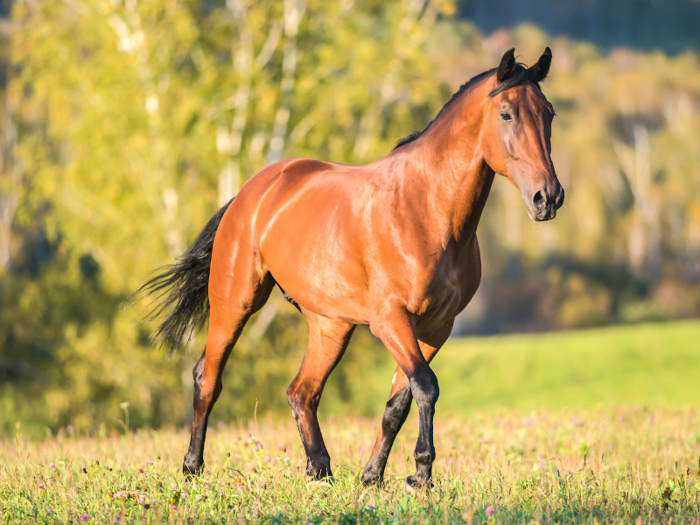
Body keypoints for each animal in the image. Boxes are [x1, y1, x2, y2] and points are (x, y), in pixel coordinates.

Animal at [137, 47, 564, 490]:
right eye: (506, 114)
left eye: (548, 114)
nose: (547, 197)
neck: (426, 209)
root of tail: (250, 192)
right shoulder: (391, 319)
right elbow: (426, 387)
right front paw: (421, 474)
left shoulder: (435, 328)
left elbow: (399, 402)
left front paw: (374, 476)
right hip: (235, 303)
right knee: (208, 377)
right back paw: (192, 468)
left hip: (331, 325)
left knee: (302, 392)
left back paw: (319, 470)